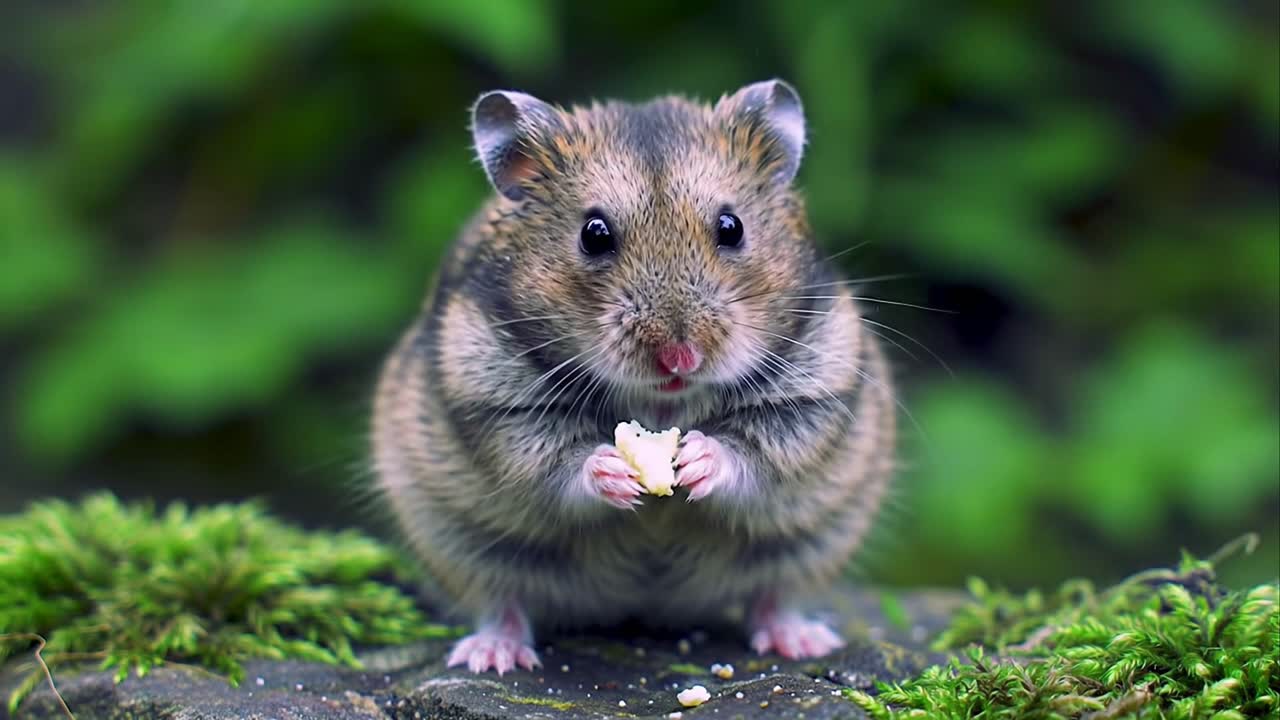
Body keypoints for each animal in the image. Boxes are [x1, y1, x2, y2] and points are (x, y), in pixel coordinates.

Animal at [372, 80, 896, 673]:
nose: (680, 359)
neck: (664, 403)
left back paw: (802, 640)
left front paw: (695, 460)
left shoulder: (814, 390)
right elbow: (555, 463)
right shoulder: (496, 400)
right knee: (501, 599)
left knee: (774, 594)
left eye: (732, 227)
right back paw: (491, 655)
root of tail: (643, 609)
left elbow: (756, 452)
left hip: (817, 537)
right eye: (593, 234)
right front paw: (616, 473)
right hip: (458, 539)